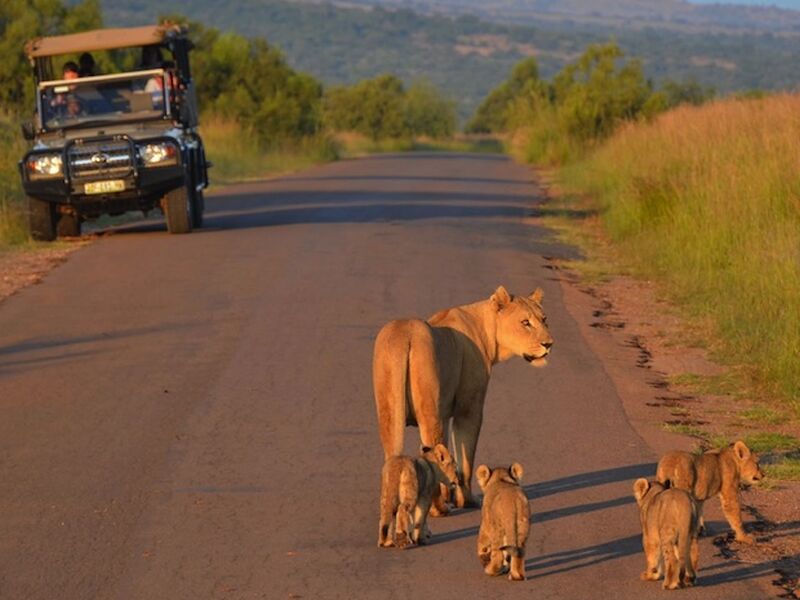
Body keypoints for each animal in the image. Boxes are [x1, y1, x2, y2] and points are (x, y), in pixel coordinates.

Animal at [374, 286, 552, 506]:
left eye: (544, 319)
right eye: (525, 322)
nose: (549, 344)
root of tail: (405, 333)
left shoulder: (445, 413)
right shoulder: (468, 410)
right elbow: (466, 457)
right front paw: (467, 499)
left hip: (390, 413)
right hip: (429, 412)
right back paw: (438, 507)